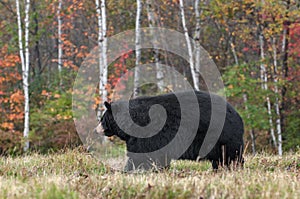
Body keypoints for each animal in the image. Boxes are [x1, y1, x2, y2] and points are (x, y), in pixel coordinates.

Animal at [95, 90, 245, 171]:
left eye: (102, 119)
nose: (96, 130)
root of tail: (237, 115)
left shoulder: (146, 135)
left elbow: (139, 155)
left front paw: (129, 170)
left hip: (221, 136)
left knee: (231, 155)